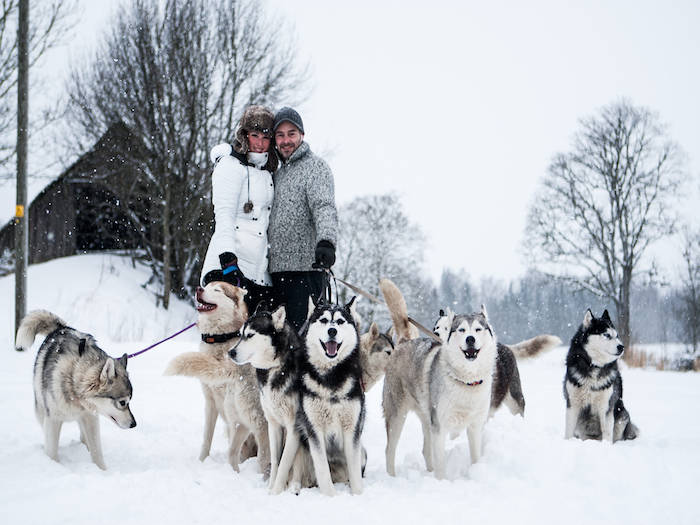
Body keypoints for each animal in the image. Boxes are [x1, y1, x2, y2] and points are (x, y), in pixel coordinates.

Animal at [15, 310, 136, 468]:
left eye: (130, 401)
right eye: (122, 402)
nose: (134, 424)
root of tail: (61, 327)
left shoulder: (90, 417)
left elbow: (97, 452)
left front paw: (102, 471)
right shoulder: (53, 419)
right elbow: (52, 452)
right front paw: (54, 466)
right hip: (41, 411)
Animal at [564, 312, 640, 442]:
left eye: (617, 336)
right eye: (607, 335)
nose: (622, 347)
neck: (594, 366)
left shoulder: (606, 406)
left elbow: (607, 433)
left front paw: (605, 445)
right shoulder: (572, 403)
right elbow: (568, 432)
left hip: (622, 416)